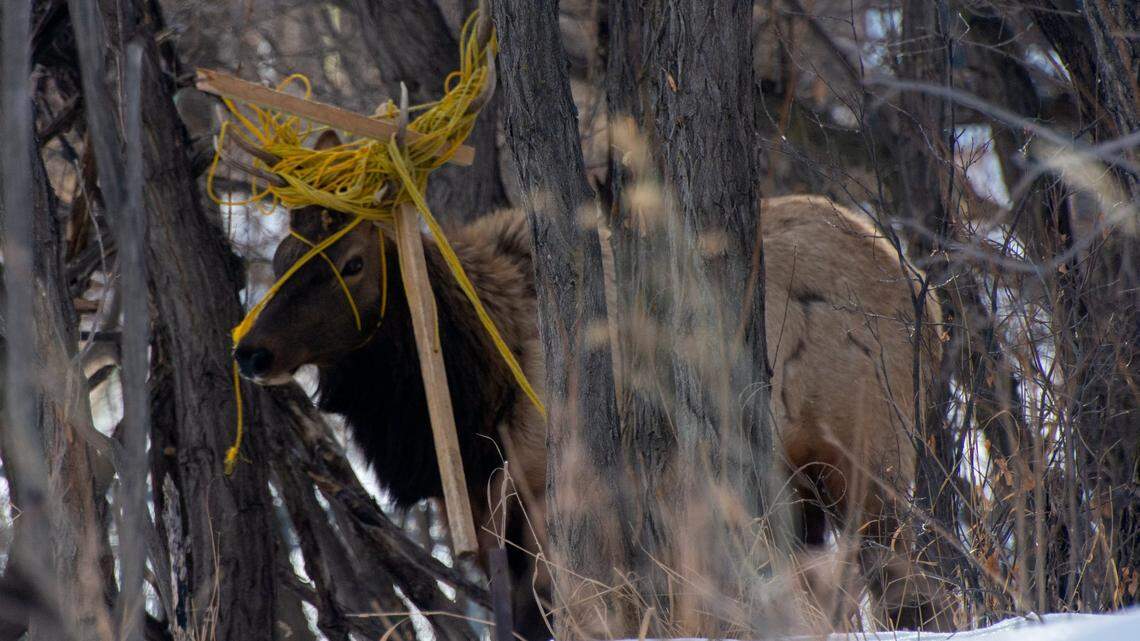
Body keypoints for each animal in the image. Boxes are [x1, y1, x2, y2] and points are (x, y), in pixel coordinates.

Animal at [229, 126, 949, 632]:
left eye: (351, 262)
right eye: (285, 254)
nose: (251, 351)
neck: (470, 394)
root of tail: (925, 296)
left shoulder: (555, 496)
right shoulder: (493, 517)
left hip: (869, 460)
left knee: (908, 588)